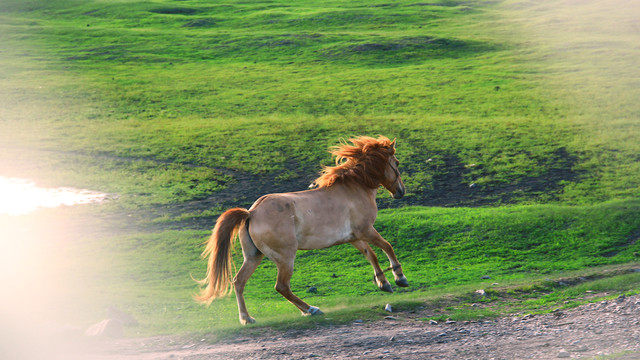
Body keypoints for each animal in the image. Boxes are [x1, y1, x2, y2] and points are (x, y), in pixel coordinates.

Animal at [192, 136, 408, 326]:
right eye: (396, 163)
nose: (401, 192)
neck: (354, 187)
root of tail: (251, 213)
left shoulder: (354, 237)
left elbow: (371, 254)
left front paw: (383, 283)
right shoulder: (366, 230)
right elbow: (387, 246)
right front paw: (399, 278)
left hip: (253, 257)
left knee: (238, 282)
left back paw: (247, 318)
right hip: (286, 257)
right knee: (281, 286)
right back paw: (311, 309)